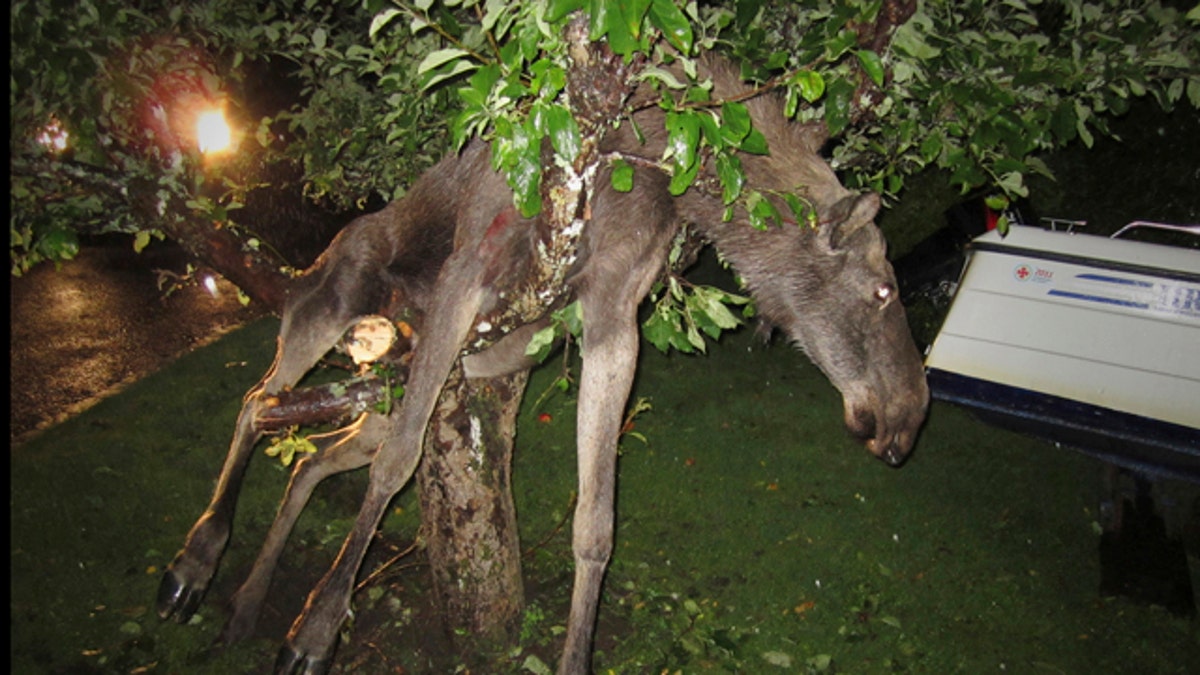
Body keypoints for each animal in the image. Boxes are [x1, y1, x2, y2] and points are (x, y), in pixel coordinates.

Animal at [157, 49, 926, 667]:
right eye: (884, 289)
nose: (908, 420)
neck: (659, 159)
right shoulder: (471, 269)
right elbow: (398, 464)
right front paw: (316, 630)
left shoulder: (615, 315)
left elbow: (596, 525)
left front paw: (574, 652)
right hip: (330, 302)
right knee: (260, 401)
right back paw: (194, 563)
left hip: (405, 384)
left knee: (313, 455)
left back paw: (247, 599)